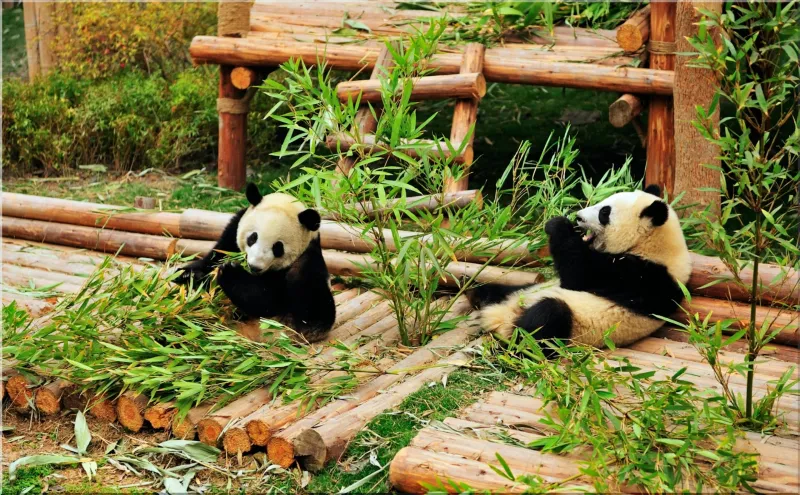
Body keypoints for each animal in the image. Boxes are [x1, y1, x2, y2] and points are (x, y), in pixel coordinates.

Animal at [175, 183, 336, 343]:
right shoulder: (232, 232)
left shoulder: (306, 258)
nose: (254, 267)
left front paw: (231, 272)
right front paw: (189, 276)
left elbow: (269, 300)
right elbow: (215, 257)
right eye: (252, 238)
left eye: (278, 248)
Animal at [468, 185, 692, 351]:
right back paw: (476, 294)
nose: (578, 216)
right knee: (497, 290)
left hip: (572, 325)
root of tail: (500, 317)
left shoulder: (640, 276)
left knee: (548, 316)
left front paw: (558, 223)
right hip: (523, 291)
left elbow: (578, 276)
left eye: (604, 212)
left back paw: (514, 345)